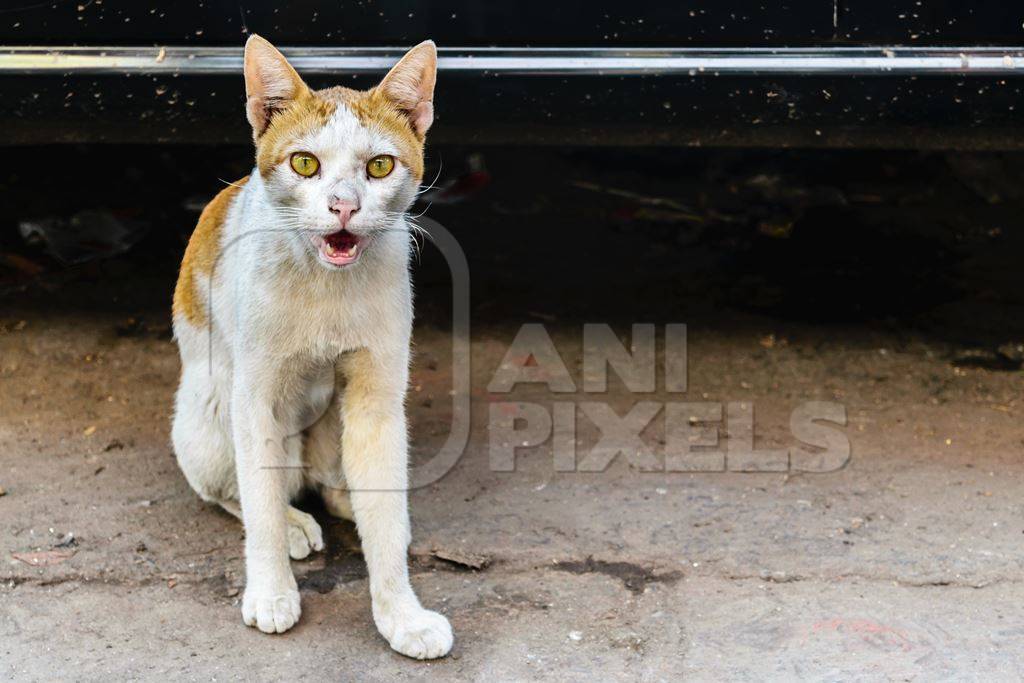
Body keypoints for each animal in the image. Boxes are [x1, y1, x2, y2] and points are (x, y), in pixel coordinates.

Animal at [172, 34, 452, 659]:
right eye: (305, 163)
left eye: (379, 166)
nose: (344, 205)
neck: (325, 283)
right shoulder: (254, 400)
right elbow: (260, 503)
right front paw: (272, 591)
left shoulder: (377, 398)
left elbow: (384, 515)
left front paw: (400, 613)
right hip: (209, 413)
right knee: (238, 489)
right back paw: (294, 522)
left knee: (340, 482)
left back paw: (348, 498)